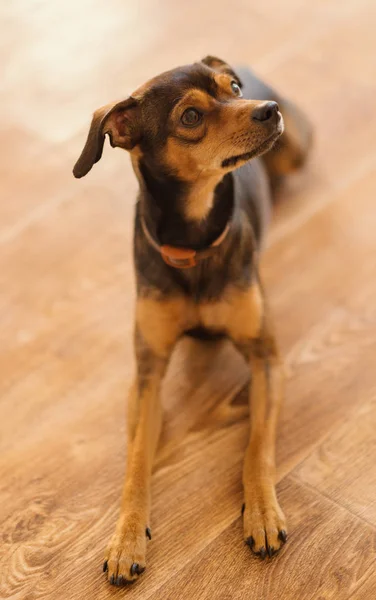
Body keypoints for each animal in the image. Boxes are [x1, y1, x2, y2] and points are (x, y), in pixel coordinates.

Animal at [72, 54, 312, 584]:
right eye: (191, 117)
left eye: (233, 90)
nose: (268, 109)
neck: (195, 239)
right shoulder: (147, 374)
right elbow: (136, 463)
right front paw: (125, 538)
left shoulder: (266, 359)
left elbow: (257, 447)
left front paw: (262, 513)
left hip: (298, 150)